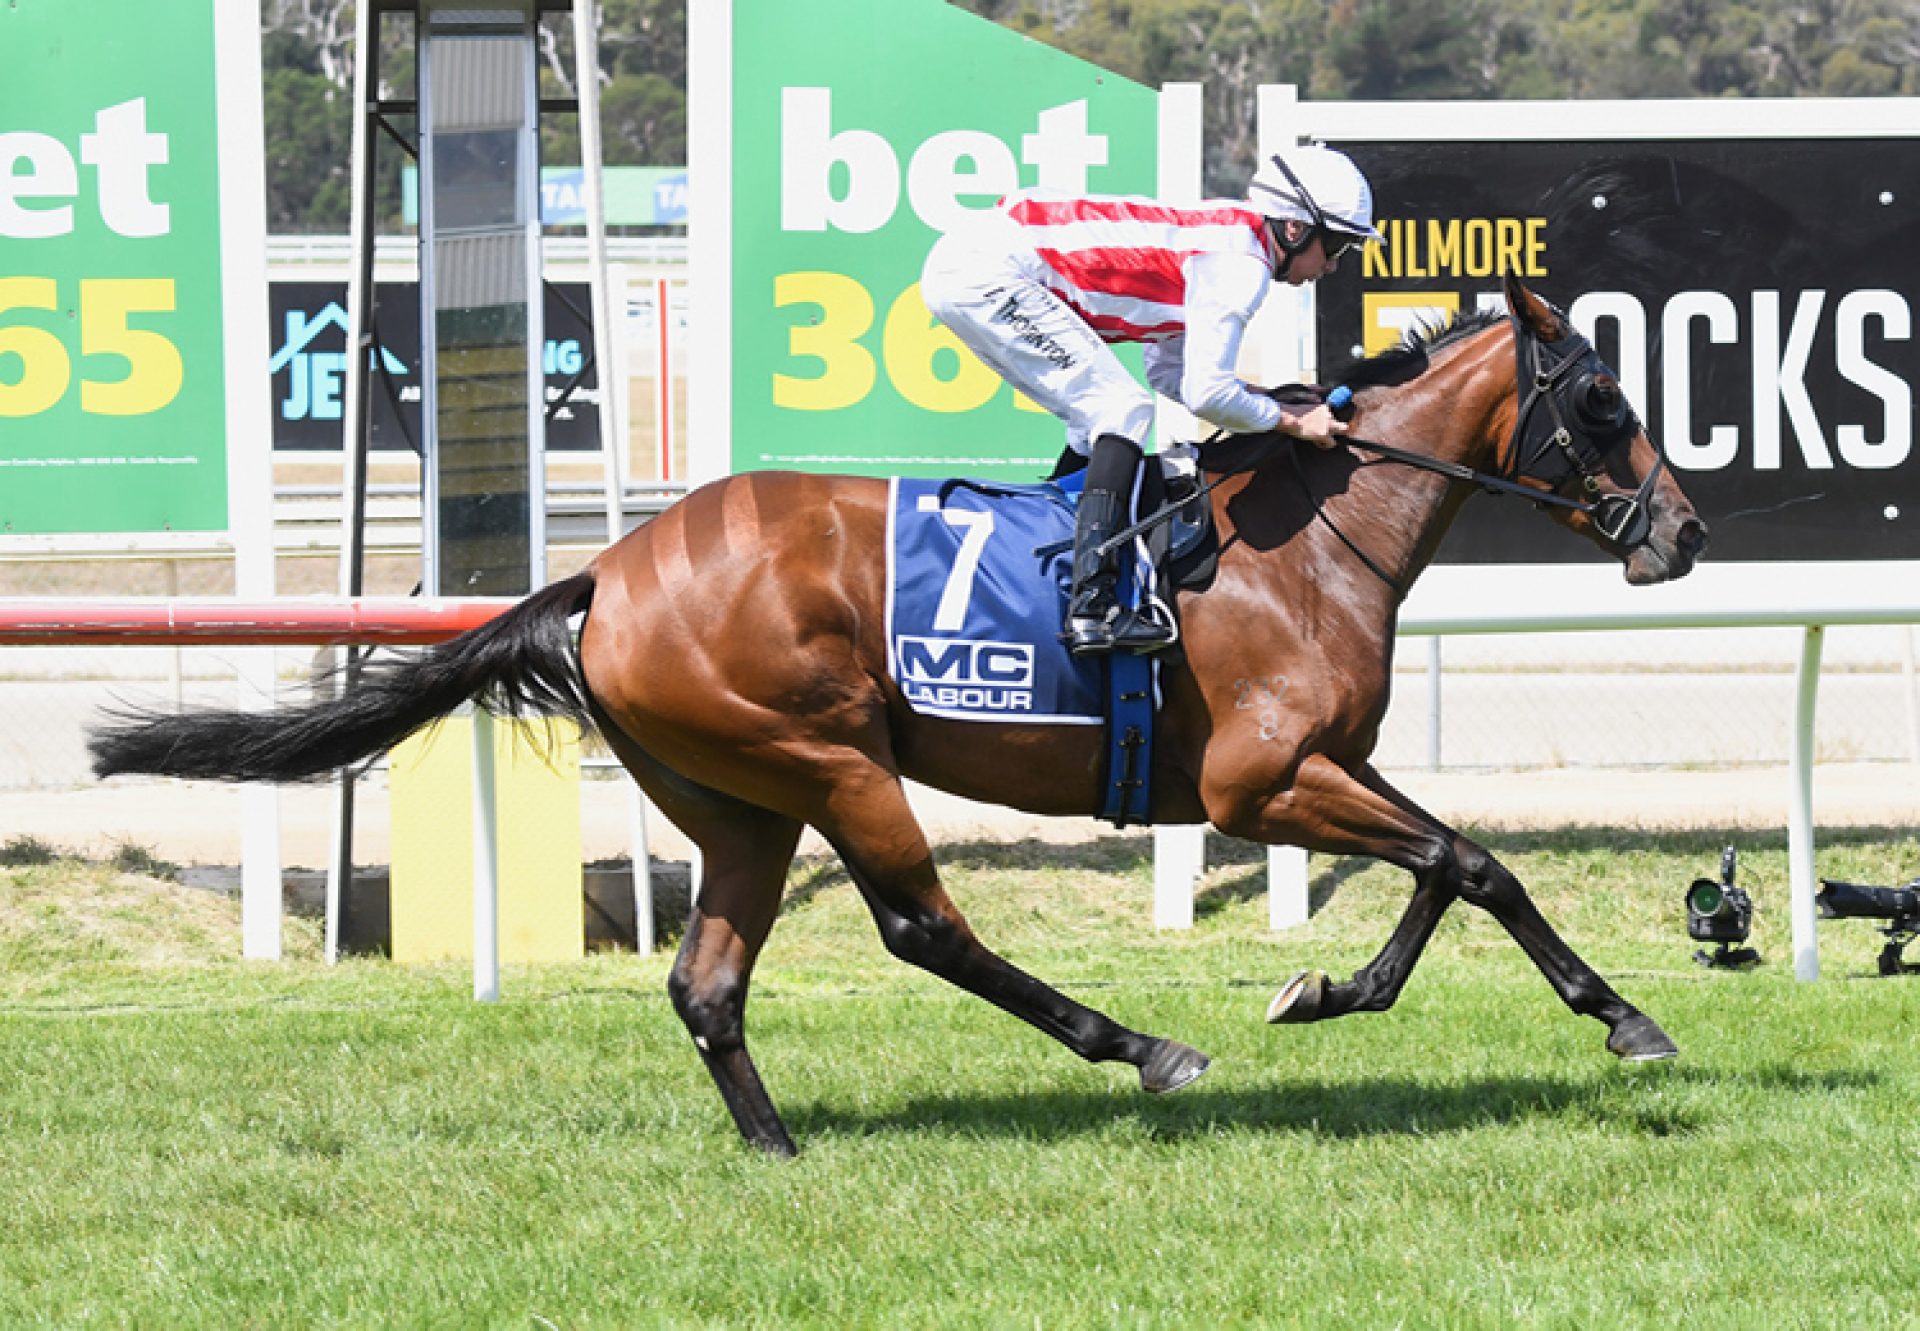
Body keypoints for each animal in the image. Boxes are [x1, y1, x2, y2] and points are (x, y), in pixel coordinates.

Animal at [90, 278, 1712, 1152]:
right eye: (1606, 400)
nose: (1684, 533)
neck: (1310, 535)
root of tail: (607, 574)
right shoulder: (1256, 784)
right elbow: (1468, 859)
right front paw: (1618, 1015)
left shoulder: (1329, 763)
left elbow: (1458, 862)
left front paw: (1339, 987)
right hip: (825, 756)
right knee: (923, 924)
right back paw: (1140, 1047)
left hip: (735, 799)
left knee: (708, 979)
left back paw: (774, 1141)